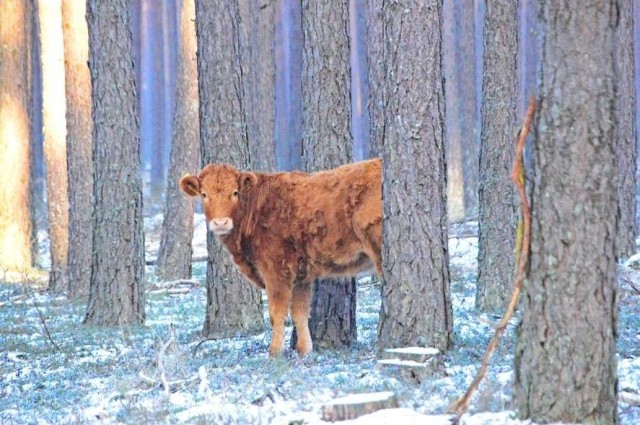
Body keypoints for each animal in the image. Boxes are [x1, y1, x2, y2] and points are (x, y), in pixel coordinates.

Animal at [178, 157, 382, 356]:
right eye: (204, 194)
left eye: (235, 193)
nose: (220, 223)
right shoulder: (301, 275)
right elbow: (300, 313)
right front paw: (304, 350)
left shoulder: (275, 270)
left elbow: (277, 314)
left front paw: (274, 352)